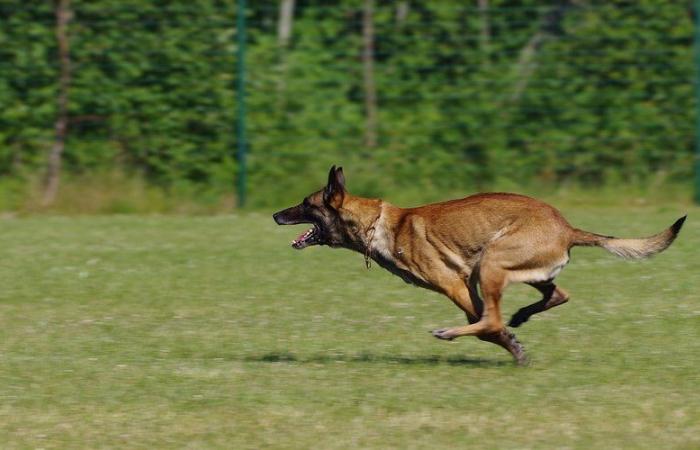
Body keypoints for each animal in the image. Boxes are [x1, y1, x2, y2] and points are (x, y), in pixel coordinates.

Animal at [272, 167, 684, 364]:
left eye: (306, 203)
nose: (276, 215)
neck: (380, 224)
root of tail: (568, 228)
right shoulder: (468, 286)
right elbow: (490, 324)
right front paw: (514, 343)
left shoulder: (455, 284)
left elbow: (487, 326)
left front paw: (511, 347)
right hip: (518, 271)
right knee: (557, 294)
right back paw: (521, 317)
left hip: (492, 262)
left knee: (494, 319)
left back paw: (453, 333)